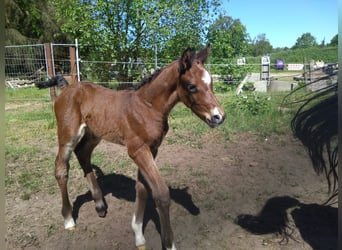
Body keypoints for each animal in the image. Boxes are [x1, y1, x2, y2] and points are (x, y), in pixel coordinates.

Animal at [46, 46, 226, 249]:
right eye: (191, 86)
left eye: (211, 83)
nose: (219, 116)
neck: (148, 107)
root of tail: (66, 87)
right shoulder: (137, 150)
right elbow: (161, 193)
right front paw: (169, 243)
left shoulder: (152, 149)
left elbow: (142, 188)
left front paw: (138, 234)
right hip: (68, 135)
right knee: (61, 168)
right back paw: (69, 219)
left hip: (94, 134)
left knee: (83, 153)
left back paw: (99, 205)